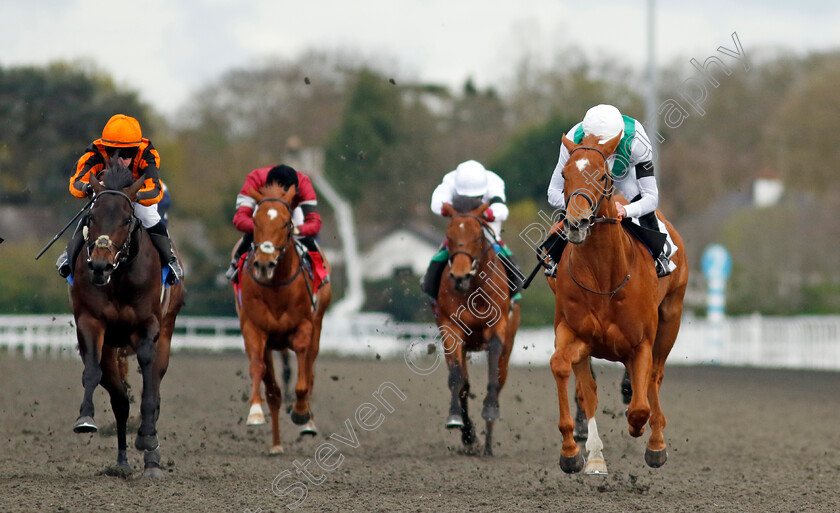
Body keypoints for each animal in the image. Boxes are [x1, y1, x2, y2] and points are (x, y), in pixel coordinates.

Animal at [69, 163, 184, 476]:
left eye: (125, 219)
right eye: (92, 217)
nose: (100, 265)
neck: (119, 276)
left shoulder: (148, 326)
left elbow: (149, 382)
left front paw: (147, 439)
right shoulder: (91, 322)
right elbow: (93, 372)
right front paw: (85, 418)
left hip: (166, 332)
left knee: (154, 386)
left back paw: (151, 456)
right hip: (112, 347)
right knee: (120, 400)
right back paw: (121, 462)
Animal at [236, 181, 332, 452]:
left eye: (286, 223)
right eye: (255, 220)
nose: (264, 263)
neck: (277, 286)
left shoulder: (304, 326)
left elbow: (303, 375)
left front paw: (300, 412)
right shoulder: (254, 328)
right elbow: (258, 368)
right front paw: (255, 412)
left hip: (317, 326)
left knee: (309, 371)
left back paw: (307, 421)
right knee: (274, 392)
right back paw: (276, 444)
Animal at [440, 199, 520, 456]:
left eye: (477, 236)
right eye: (449, 235)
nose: (459, 275)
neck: (472, 288)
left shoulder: (497, 327)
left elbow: (493, 376)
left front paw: (491, 409)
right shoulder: (450, 328)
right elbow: (457, 379)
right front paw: (456, 420)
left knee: (500, 379)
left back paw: (487, 445)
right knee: (464, 384)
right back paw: (471, 436)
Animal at [552, 131, 688, 472]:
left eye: (602, 176)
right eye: (565, 174)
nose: (576, 223)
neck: (604, 277)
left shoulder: (641, 342)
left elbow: (640, 404)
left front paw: (644, 433)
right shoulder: (574, 333)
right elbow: (567, 372)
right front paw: (572, 451)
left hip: (671, 318)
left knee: (654, 377)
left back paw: (655, 439)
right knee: (588, 389)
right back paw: (595, 455)